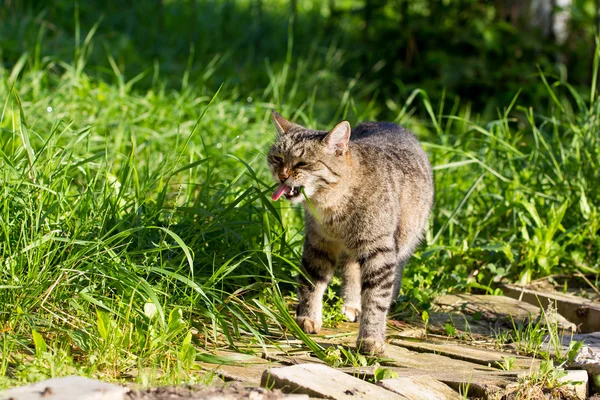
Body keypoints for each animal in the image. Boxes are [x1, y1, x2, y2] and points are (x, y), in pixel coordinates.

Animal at [270, 110, 434, 354]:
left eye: (302, 163)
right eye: (278, 158)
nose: (282, 175)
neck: (332, 207)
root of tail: (388, 122)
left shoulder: (380, 251)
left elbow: (376, 298)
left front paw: (371, 338)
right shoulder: (318, 243)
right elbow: (311, 282)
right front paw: (308, 318)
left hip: (404, 240)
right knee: (352, 272)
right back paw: (352, 304)